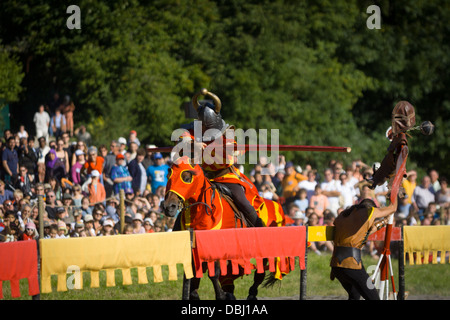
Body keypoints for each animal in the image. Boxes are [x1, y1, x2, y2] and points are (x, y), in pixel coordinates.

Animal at [163, 156, 286, 300]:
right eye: (169, 176)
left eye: (187, 178)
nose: (168, 207)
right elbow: (195, 277)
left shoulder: (217, 249)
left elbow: (213, 275)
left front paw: (221, 295)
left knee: (260, 272)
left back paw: (251, 293)